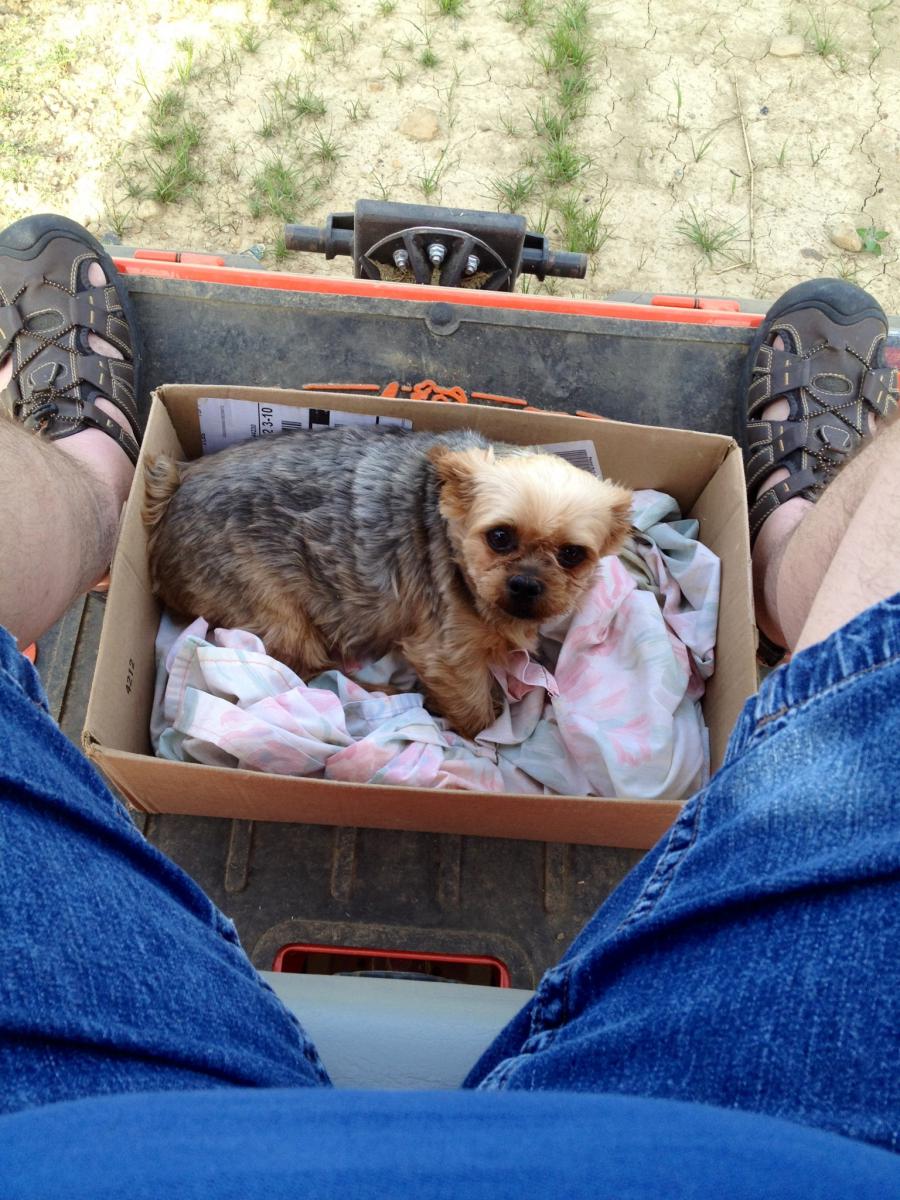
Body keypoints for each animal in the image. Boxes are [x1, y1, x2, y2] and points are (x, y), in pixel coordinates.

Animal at [142, 427, 633, 734]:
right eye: (499, 537)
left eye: (572, 555)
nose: (527, 585)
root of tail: (176, 487)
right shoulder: (445, 653)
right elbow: (476, 711)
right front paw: (481, 734)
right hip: (271, 607)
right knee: (306, 671)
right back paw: (380, 693)